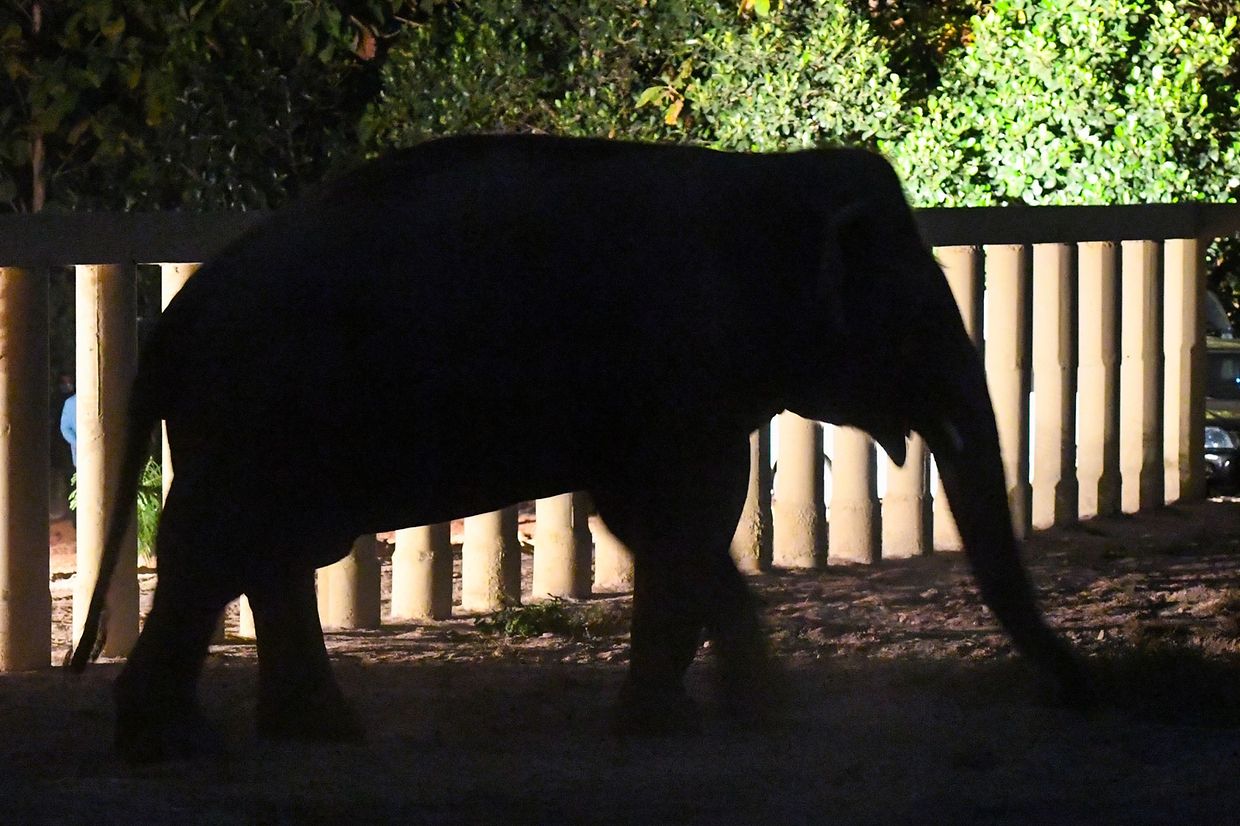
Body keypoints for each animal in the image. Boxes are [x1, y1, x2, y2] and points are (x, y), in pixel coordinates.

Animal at [70, 134, 1090, 762]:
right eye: (918, 322)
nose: (1080, 688)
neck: (765, 181)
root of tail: (169, 328)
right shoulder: (683, 368)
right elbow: (677, 514)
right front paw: (688, 723)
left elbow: (658, 522)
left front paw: (741, 715)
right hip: (256, 413)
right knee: (220, 546)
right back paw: (175, 749)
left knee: (263, 551)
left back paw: (312, 735)